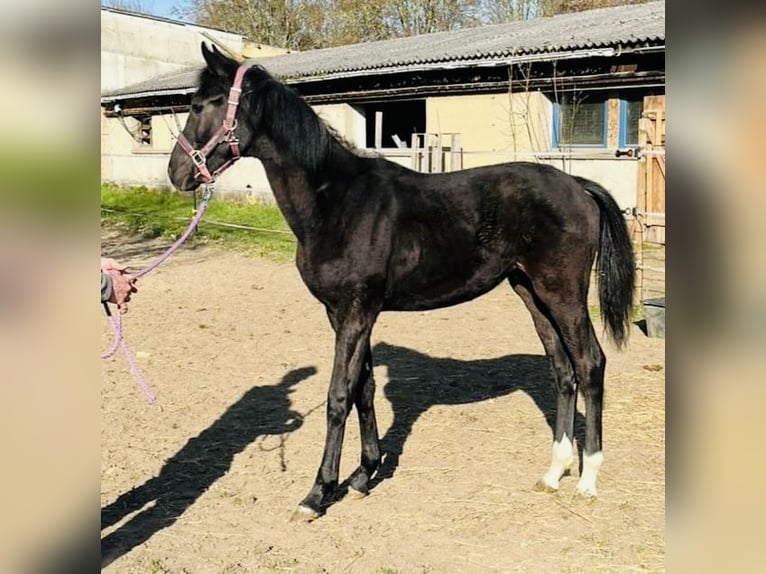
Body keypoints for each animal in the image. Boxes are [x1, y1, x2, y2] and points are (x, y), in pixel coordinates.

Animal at [168, 43, 635, 521]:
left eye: (204, 104)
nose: (178, 172)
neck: (335, 202)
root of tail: (577, 185)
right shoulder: (344, 314)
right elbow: (364, 390)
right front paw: (363, 475)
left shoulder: (356, 313)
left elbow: (339, 396)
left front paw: (319, 492)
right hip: (531, 293)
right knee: (563, 371)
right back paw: (554, 472)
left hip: (564, 294)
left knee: (590, 363)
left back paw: (587, 478)